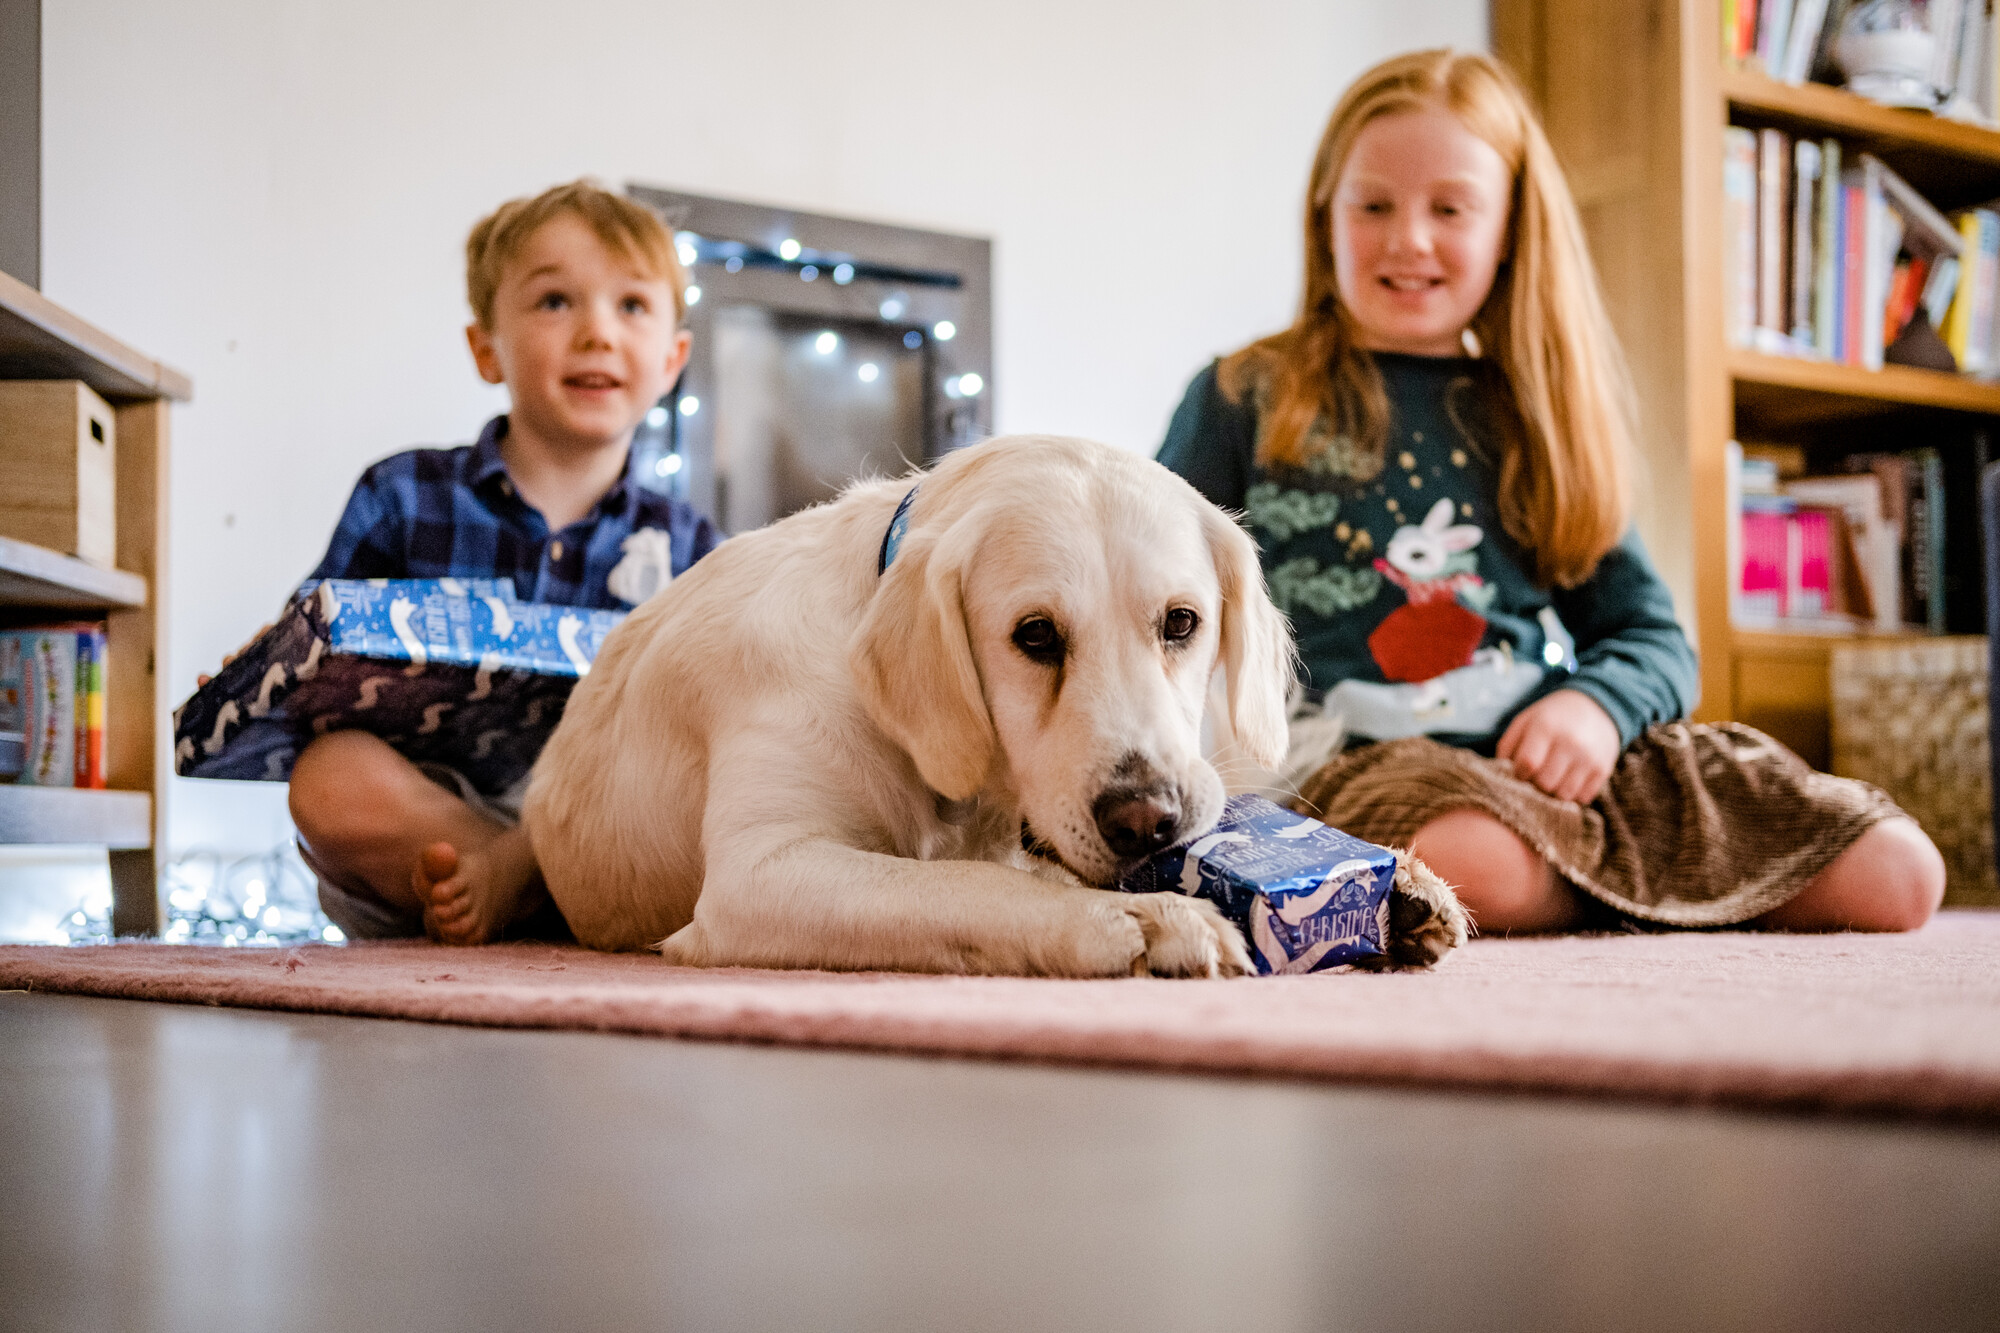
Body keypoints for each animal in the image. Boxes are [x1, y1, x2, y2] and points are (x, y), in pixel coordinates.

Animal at [524, 430, 1464, 972]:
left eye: (1182, 621)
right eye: (1035, 635)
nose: (1148, 822)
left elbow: (997, 870)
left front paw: (1404, 889)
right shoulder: (762, 872)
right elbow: (973, 890)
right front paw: (1151, 917)